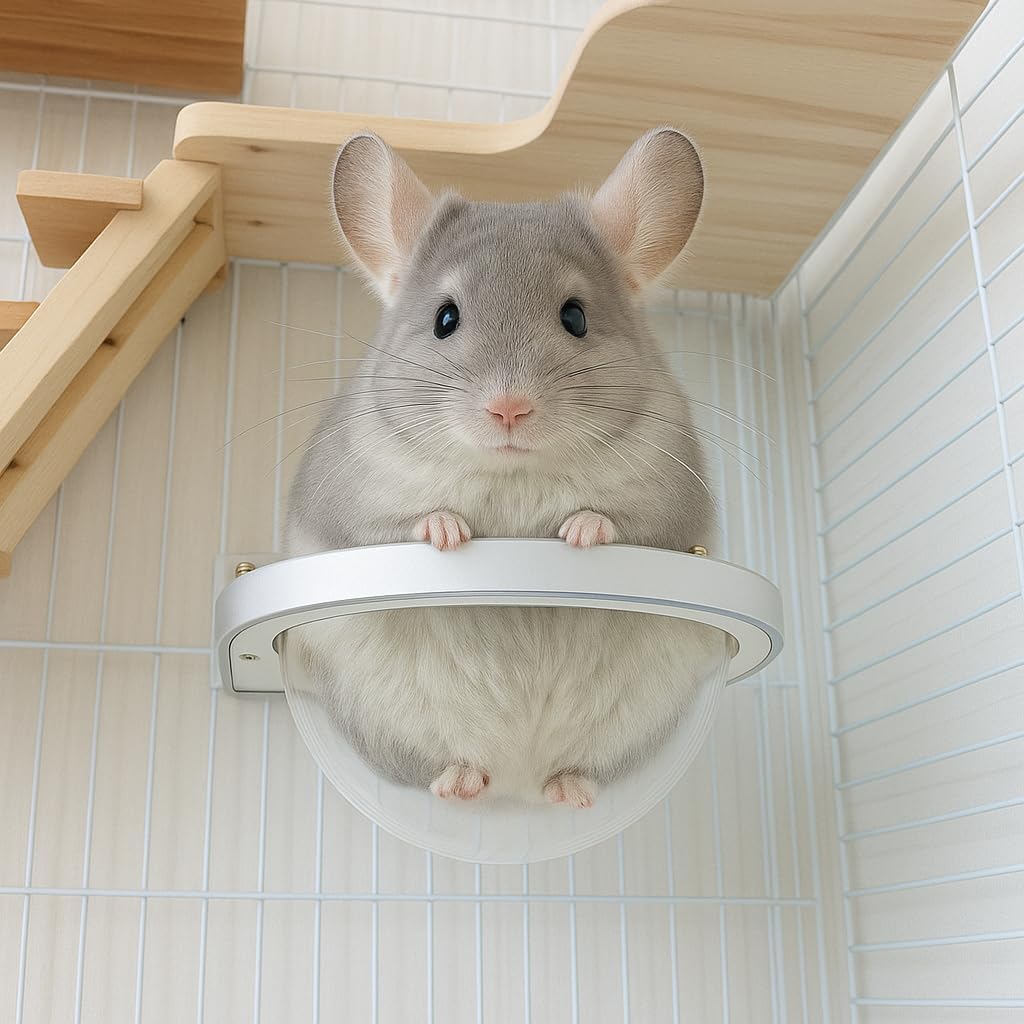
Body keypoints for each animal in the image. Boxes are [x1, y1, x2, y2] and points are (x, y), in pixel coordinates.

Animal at [285, 127, 729, 808]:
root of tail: (518, 778)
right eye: (444, 319)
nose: (509, 407)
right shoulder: (348, 504)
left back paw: (569, 790)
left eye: (575, 316)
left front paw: (582, 530)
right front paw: (446, 530)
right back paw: (462, 781)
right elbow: (396, 522)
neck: (513, 475)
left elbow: (626, 520)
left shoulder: (671, 501)